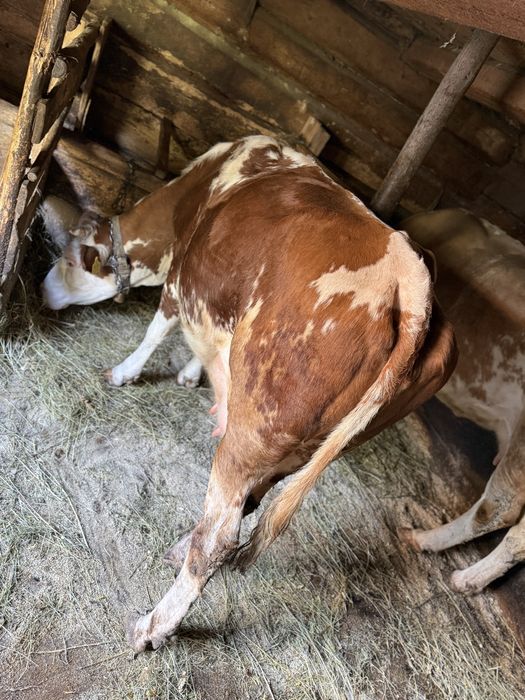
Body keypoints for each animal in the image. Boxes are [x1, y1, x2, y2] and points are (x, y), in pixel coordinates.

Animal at [41, 135, 456, 652]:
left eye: (69, 260)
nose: (42, 292)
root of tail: (411, 273)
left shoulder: (182, 280)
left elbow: (158, 330)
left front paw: (124, 372)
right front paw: (191, 374)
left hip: (258, 427)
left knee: (220, 537)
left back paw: (154, 627)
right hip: (304, 442)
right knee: (243, 510)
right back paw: (182, 547)